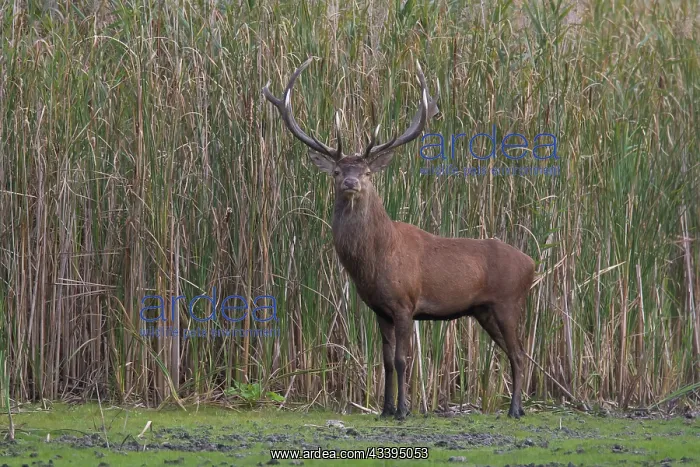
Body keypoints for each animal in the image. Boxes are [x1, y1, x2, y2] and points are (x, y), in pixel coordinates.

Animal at [263, 57, 536, 420]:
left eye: (367, 172)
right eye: (336, 171)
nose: (350, 182)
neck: (376, 261)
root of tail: (532, 263)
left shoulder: (406, 303)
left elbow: (403, 359)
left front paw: (404, 410)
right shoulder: (380, 309)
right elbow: (386, 362)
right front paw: (385, 409)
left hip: (509, 302)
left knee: (519, 353)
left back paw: (516, 409)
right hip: (484, 311)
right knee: (514, 352)